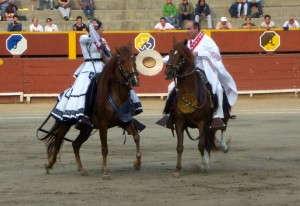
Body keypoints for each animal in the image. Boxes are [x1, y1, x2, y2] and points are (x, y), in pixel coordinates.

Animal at [39, 43, 142, 177]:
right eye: (123, 61)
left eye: (134, 59)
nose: (134, 81)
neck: (117, 96)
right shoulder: (103, 124)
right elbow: (104, 148)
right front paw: (104, 171)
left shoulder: (125, 121)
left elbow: (136, 137)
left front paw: (137, 163)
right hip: (66, 124)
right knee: (58, 142)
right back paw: (49, 165)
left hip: (86, 129)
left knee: (75, 144)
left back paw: (81, 169)